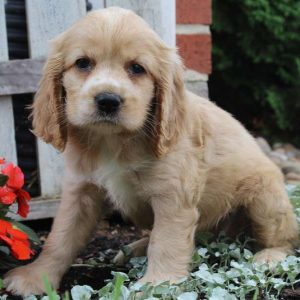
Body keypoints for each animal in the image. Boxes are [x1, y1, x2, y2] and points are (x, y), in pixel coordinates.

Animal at [4, 6, 298, 296]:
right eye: (83, 63)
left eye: (137, 68)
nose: (108, 100)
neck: (113, 142)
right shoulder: (81, 190)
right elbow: (61, 236)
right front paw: (36, 276)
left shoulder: (173, 196)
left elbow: (166, 241)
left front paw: (158, 283)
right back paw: (134, 248)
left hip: (265, 199)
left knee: (287, 239)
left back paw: (268, 257)